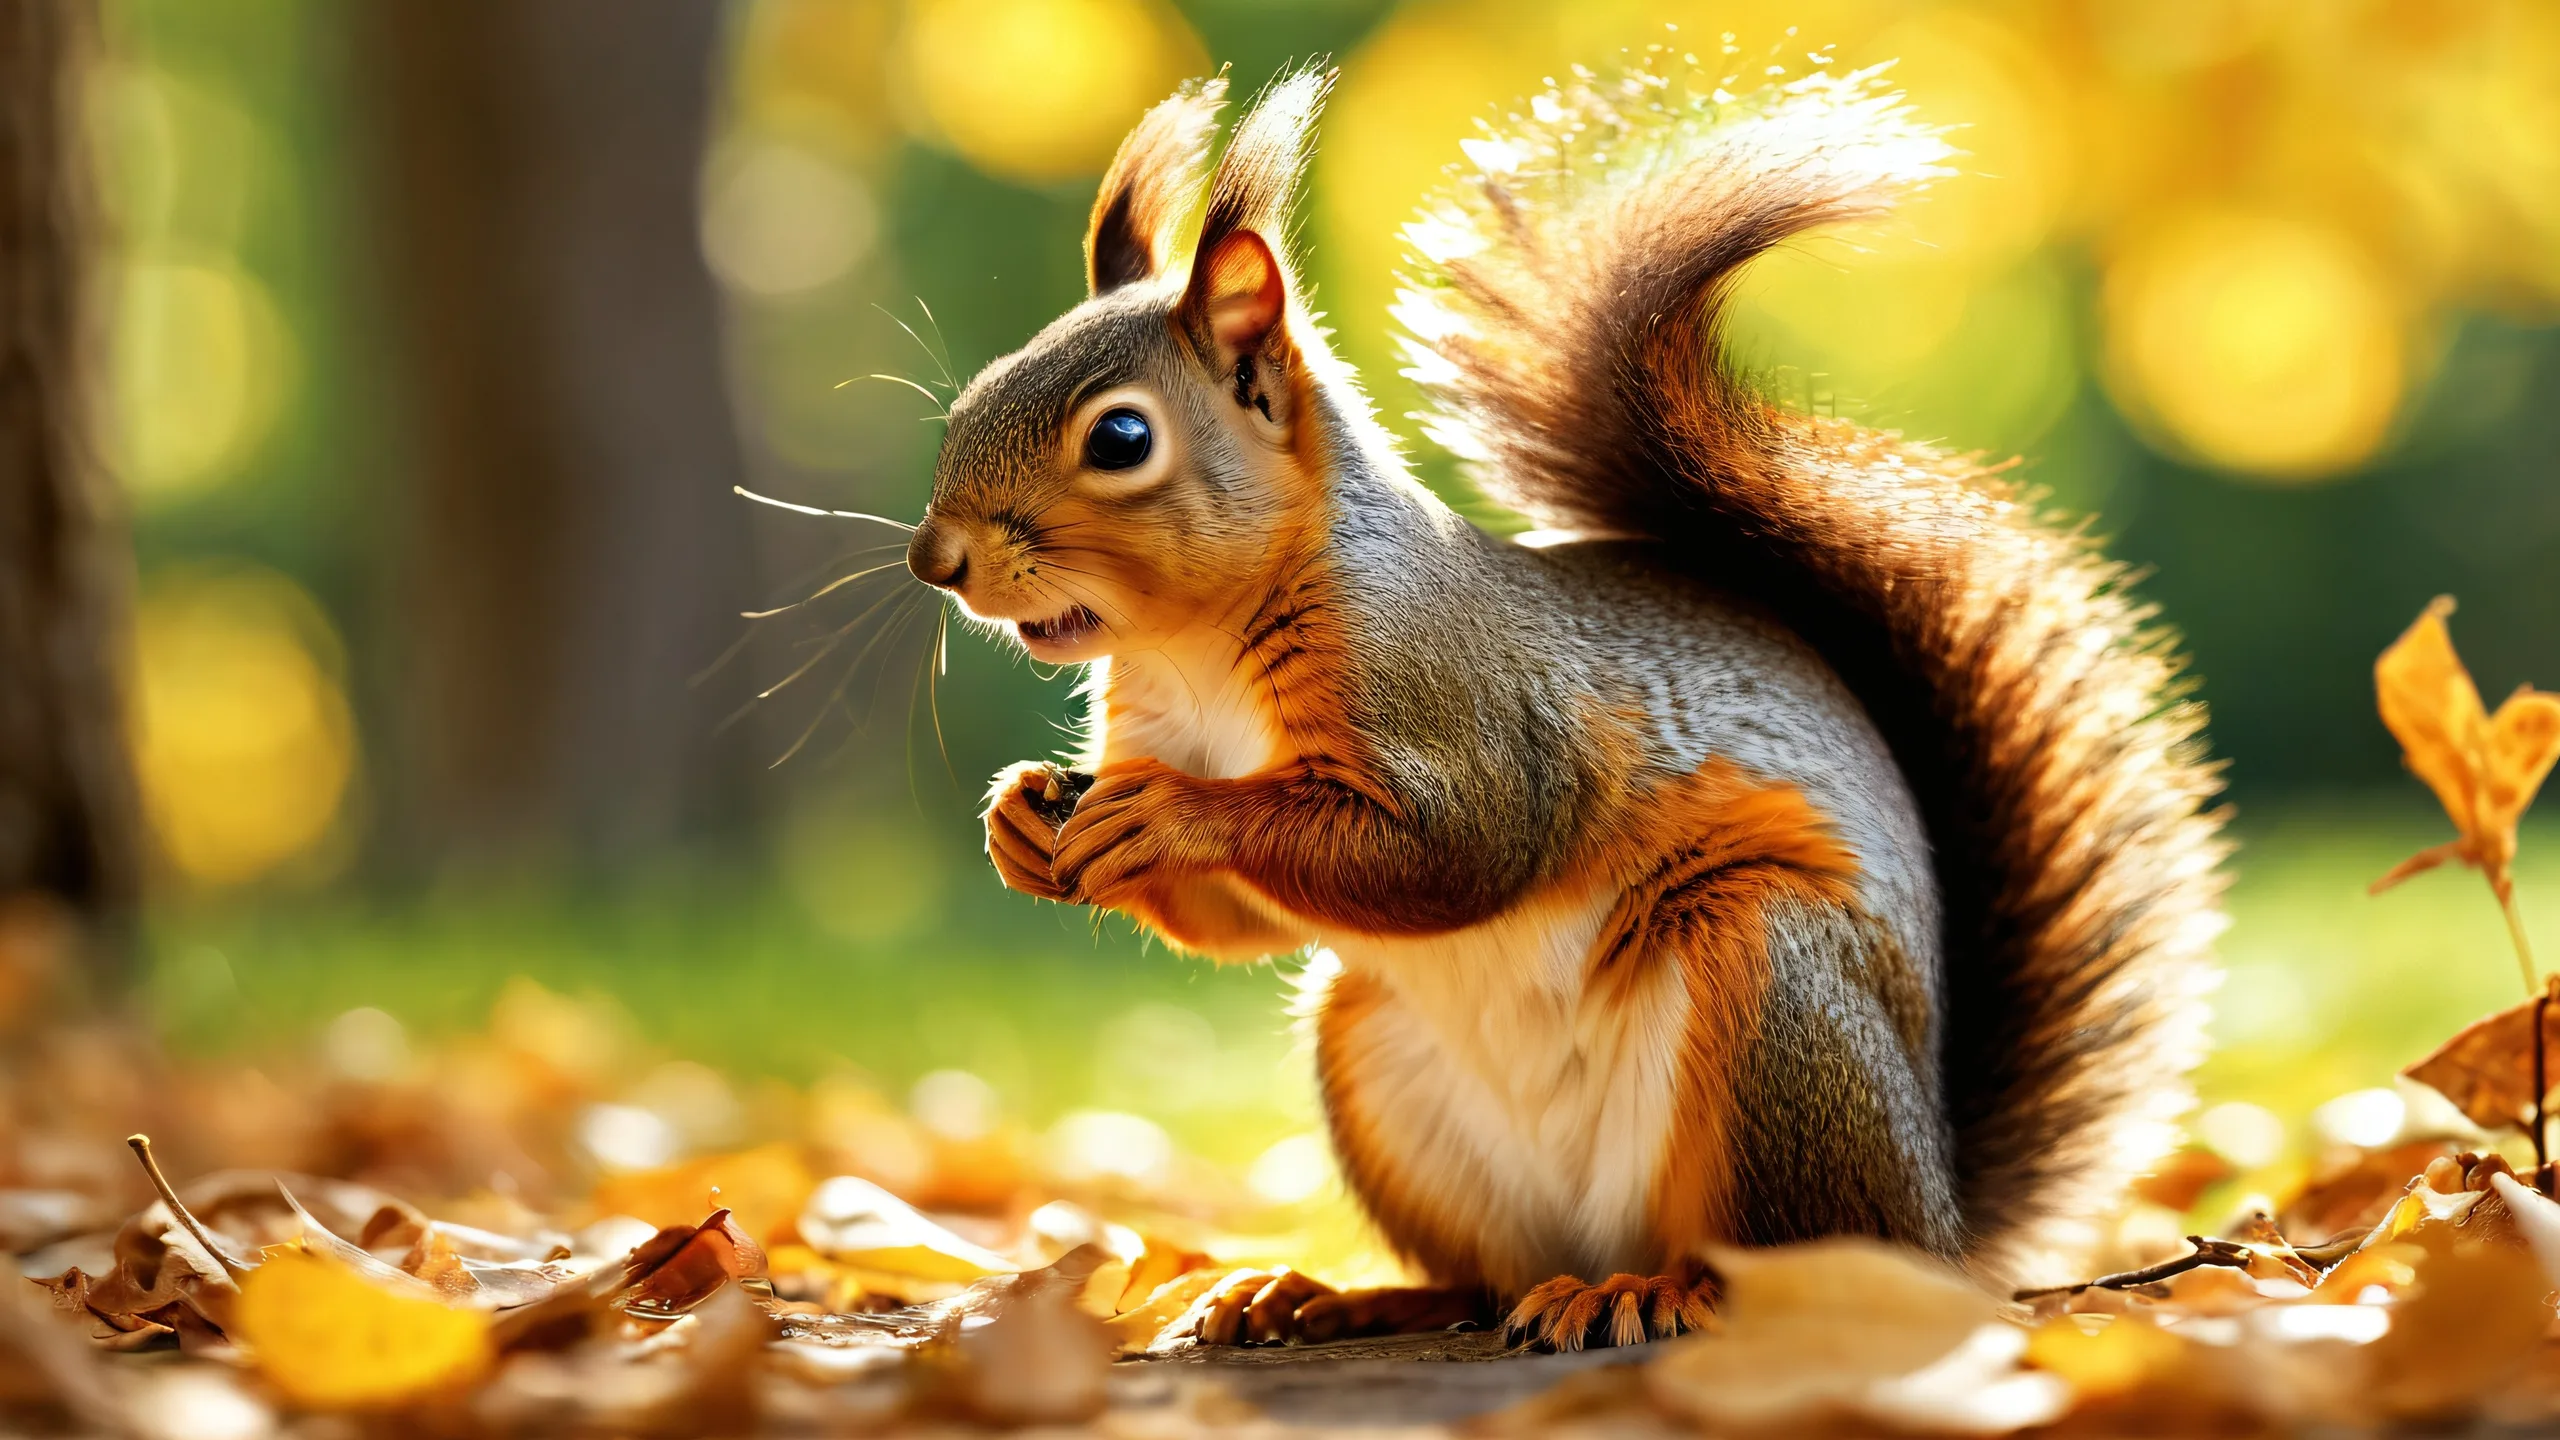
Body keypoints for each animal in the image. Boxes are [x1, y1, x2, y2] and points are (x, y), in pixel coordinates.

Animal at [903, 62, 2226, 1351]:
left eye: (1121, 436)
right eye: (968, 404)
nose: (935, 559)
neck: (1199, 650)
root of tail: (1943, 1223)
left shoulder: (1462, 700)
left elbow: (1457, 847)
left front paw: (1174, 816)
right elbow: (1236, 922)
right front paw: (1019, 820)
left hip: (1770, 996)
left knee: (1769, 1256)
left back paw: (1658, 1295)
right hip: (1377, 1057)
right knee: (1485, 1284)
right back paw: (1334, 1300)